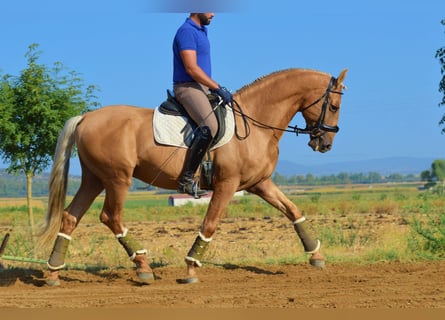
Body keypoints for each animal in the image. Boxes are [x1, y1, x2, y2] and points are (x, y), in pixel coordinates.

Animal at [38, 67, 346, 284]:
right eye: (333, 106)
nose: (326, 145)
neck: (255, 123)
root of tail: (86, 117)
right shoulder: (227, 184)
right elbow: (210, 224)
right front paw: (190, 268)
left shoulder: (259, 183)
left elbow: (292, 209)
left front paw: (316, 255)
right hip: (117, 179)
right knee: (110, 217)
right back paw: (143, 266)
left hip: (94, 178)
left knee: (71, 216)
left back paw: (53, 273)